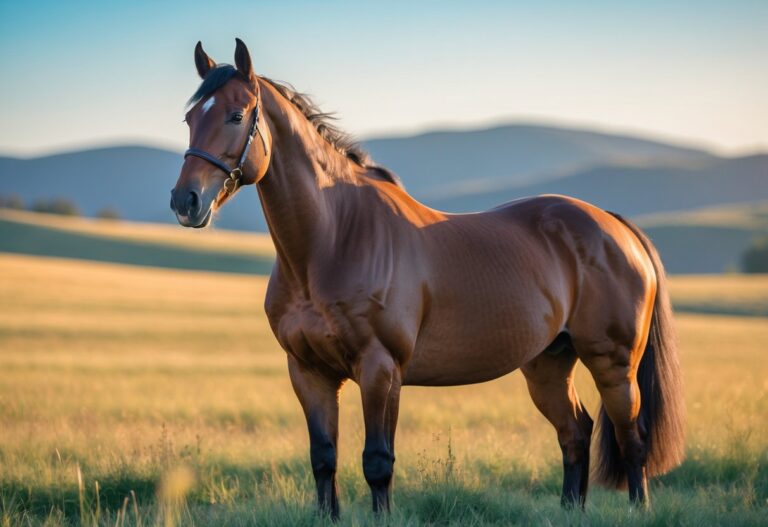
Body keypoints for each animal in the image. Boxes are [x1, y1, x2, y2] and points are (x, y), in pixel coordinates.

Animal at [171, 39, 685, 518]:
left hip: (613, 364)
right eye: (190, 118)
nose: (185, 201)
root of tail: (614, 225)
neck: (333, 241)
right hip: (548, 363)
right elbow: (324, 458)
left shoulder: (380, 370)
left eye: (236, 115)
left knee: (632, 439)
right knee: (575, 433)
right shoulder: (308, 372)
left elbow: (377, 462)